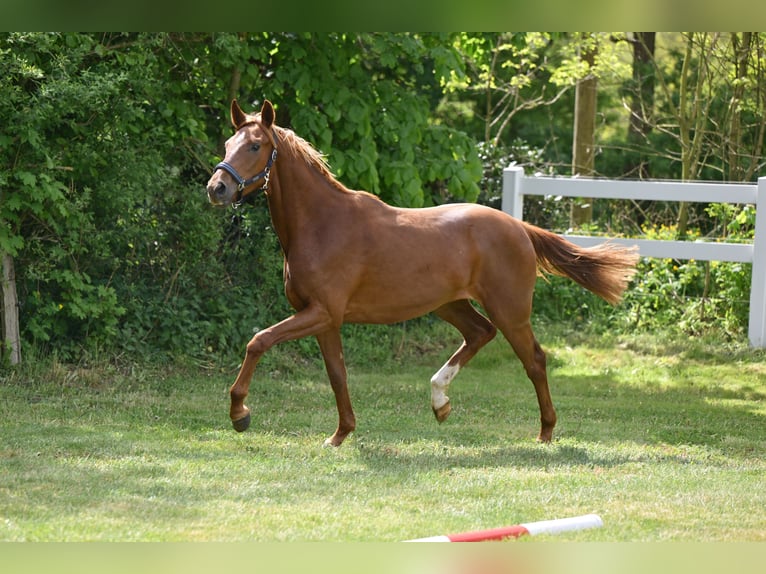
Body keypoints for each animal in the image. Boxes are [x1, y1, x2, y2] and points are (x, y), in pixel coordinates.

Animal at [206, 99, 638, 447]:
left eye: (256, 146)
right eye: (227, 145)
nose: (217, 188)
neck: (322, 224)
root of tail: (519, 227)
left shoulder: (321, 313)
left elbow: (258, 341)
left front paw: (240, 414)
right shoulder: (324, 319)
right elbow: (337, 374)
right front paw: (340, 435)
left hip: (510, 311)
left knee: (534, 360)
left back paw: (545, 432)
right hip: (449, 305)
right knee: (479, 334)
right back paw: (440, 402)